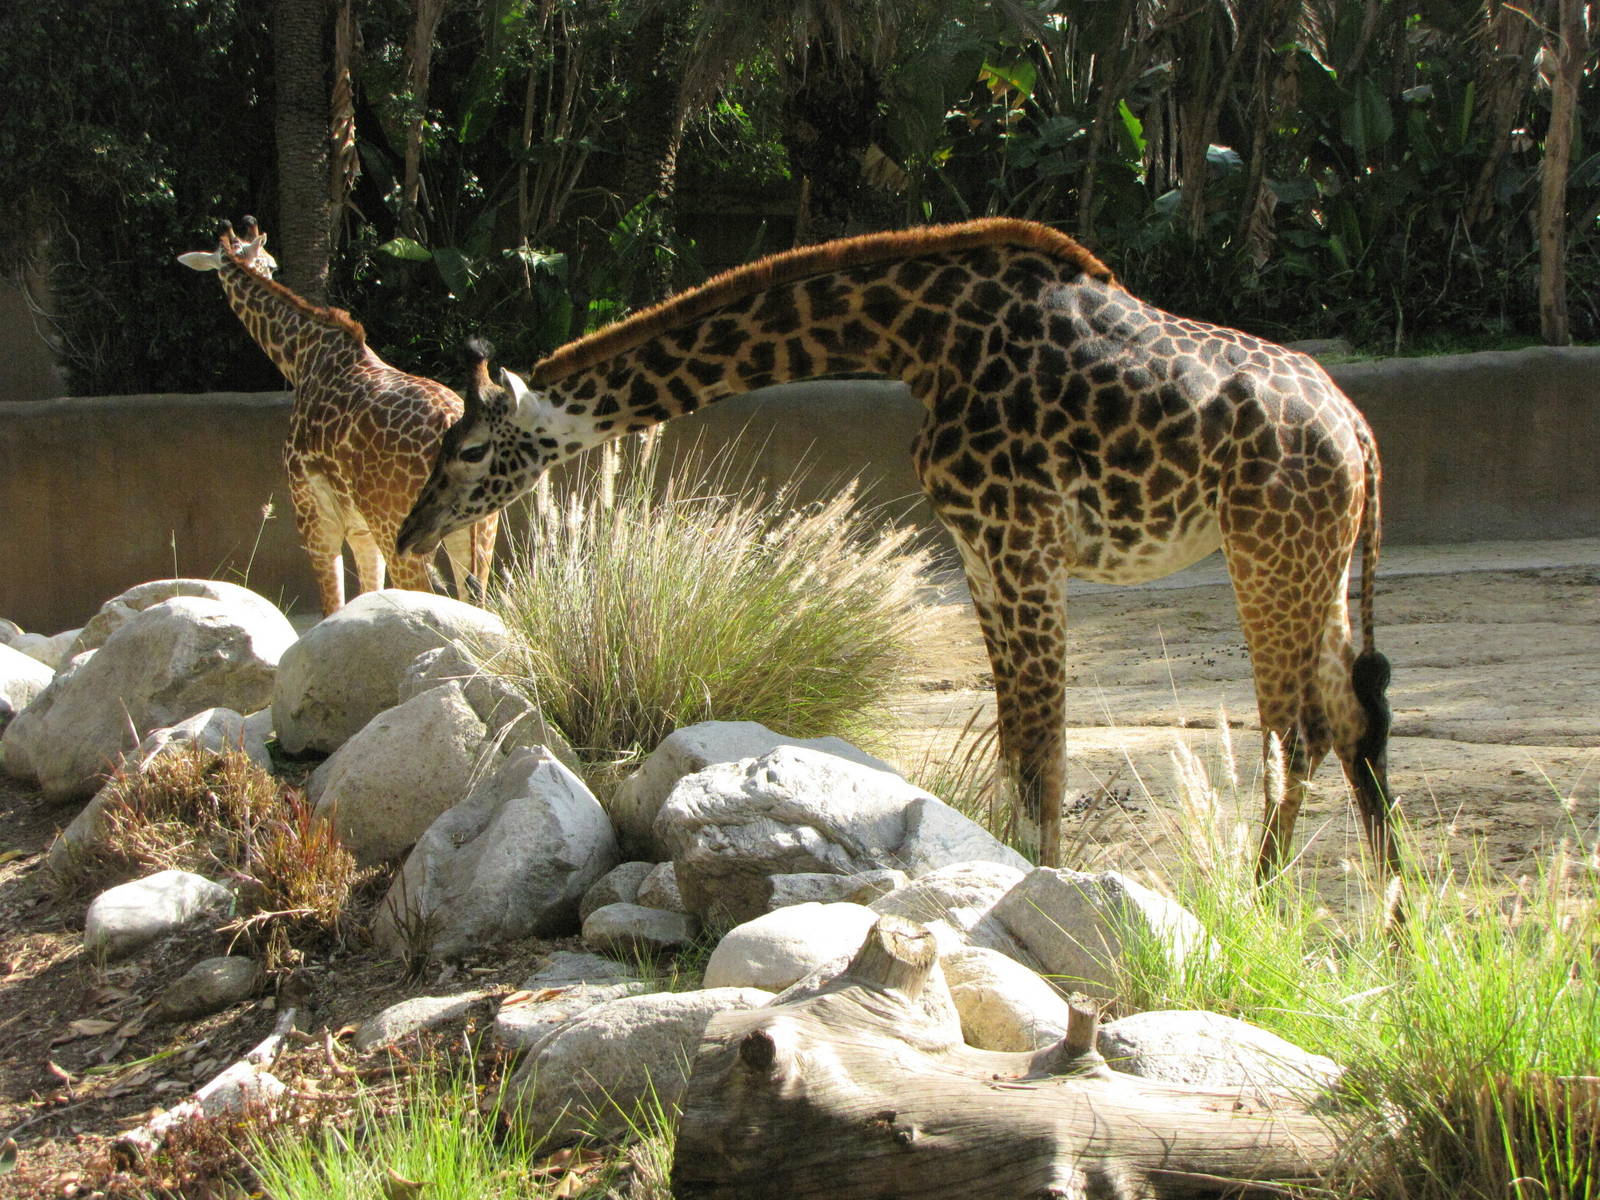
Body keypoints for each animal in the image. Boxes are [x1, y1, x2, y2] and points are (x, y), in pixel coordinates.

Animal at [178, 217, 498, 615]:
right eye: (269, 263)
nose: (264, 268)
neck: (303, 357)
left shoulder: (314, 514)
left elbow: (334, 605)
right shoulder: (361, 527)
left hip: (400, 528)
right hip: (478, 528)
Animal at [397, 218, 1400, 882]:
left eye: (473, 448)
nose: (411, 531)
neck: (916, 338)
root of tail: (1359, 433)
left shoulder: (1019, 541)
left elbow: (1043, 748)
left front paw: (1043, 890)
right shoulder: (982, 551)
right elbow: (1019, 740)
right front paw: (1025, 881)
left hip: (1267, 555)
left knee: (1297, 733)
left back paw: (1259, 904)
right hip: (1315, 563)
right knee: (1354, 717)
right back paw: (1394, 933)